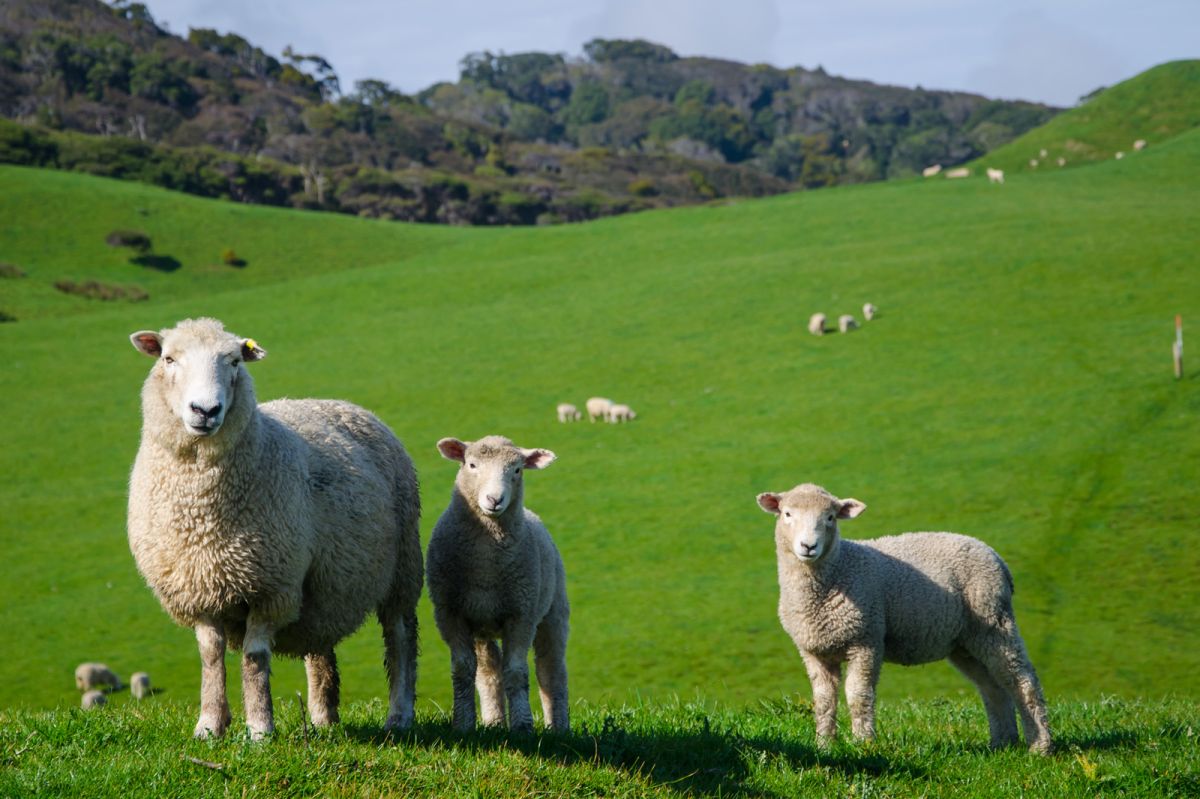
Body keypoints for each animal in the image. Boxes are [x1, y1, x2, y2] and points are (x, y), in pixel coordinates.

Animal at [127, 317, 423, 740]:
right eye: (168, 358)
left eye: (234, 361)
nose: (206, 410)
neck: (202, 513)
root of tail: (344, 404)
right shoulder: (197, 588)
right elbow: (210, 656)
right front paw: (209, 725)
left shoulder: (271, 587)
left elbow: (254, 658)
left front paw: (260, 729)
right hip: (323, 589)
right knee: (321, 648)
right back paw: (323, 719)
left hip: (403, 569)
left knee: (400, 638)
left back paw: (399, 715)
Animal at [426, 436, 569, 733]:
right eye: (471, 465)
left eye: (517, 470)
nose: (495, 499)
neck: (486, 566)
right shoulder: (450, 613)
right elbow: (463, 669)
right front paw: (463, 724)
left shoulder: (522, 614)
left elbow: (516, 671)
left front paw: (523, 726)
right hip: (483, 625)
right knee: (489, 671)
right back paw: (493, 721)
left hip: (553, 612)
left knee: (551, 670)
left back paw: (559, 726)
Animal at [755, 483, 1053, 754]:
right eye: (787, 514)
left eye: (830, 517)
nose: (808, 546)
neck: (838, 569)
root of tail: (996, 558)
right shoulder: (814, 651)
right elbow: (824, 701)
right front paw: (824, 746)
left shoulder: (866, 640)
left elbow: (859, 695)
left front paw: (864, 744)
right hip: (966, 641)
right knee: (993, 687)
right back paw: (1002, 744)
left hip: (993, 621)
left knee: (1022, 680)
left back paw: (1040, 746)